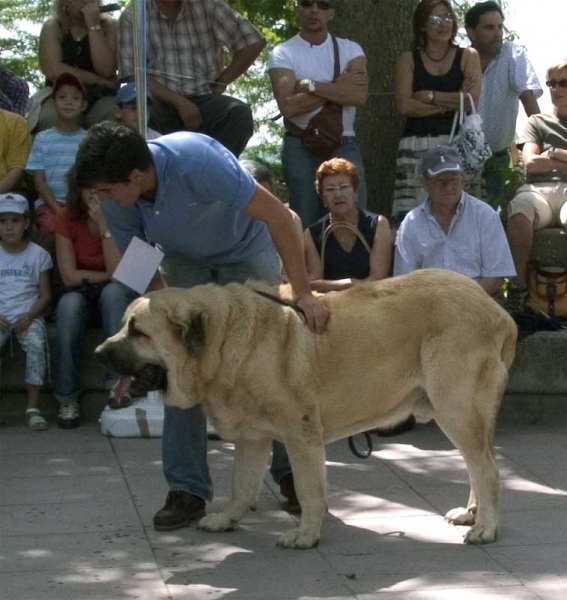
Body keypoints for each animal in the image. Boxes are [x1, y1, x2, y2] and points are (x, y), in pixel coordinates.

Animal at [95, 270, 516, 548]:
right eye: (124, 325)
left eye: (138, 331)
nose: (98, 353)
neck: (223, 337)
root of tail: (497, 311)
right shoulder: (252, 439)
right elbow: (241, 485)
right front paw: (227, 520)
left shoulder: (301, 436)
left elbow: (309, 488)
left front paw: (306, 535)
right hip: (462, 415)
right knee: (478, 465)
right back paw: (472, 513)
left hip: (456, 408)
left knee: (487, 470)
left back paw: (486, 528)